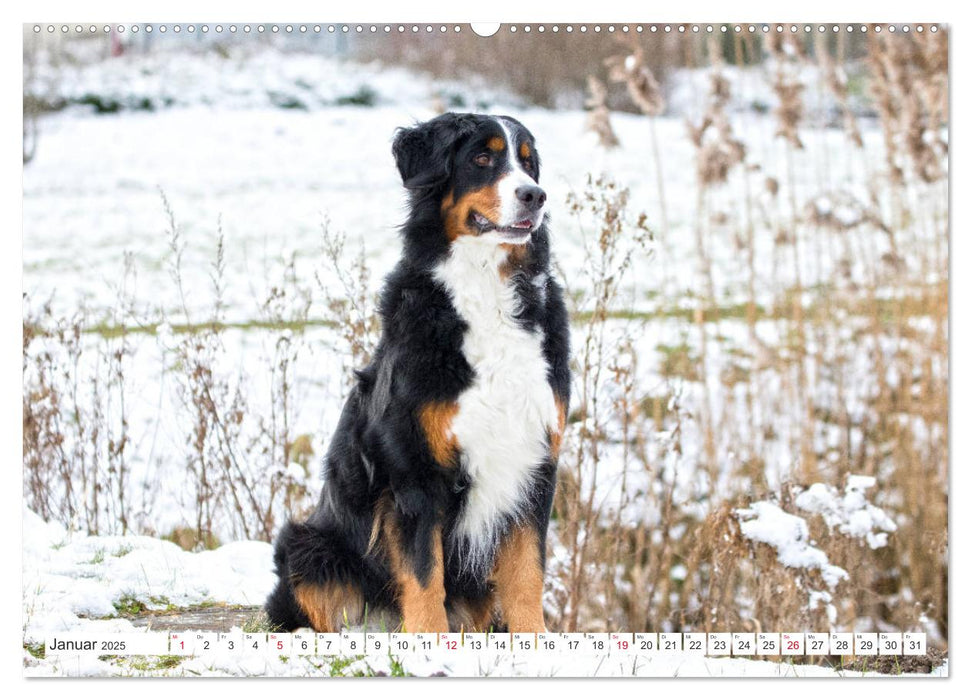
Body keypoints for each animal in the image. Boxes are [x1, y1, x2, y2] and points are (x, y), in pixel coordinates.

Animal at [262, 113, 572, 636]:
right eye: (482, 157)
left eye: (528, 164)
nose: (535, 195)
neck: (485, 291)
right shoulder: (414, 469)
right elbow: (426, 577)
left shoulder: (535, 462)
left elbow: (527, 572)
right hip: (307, 548)